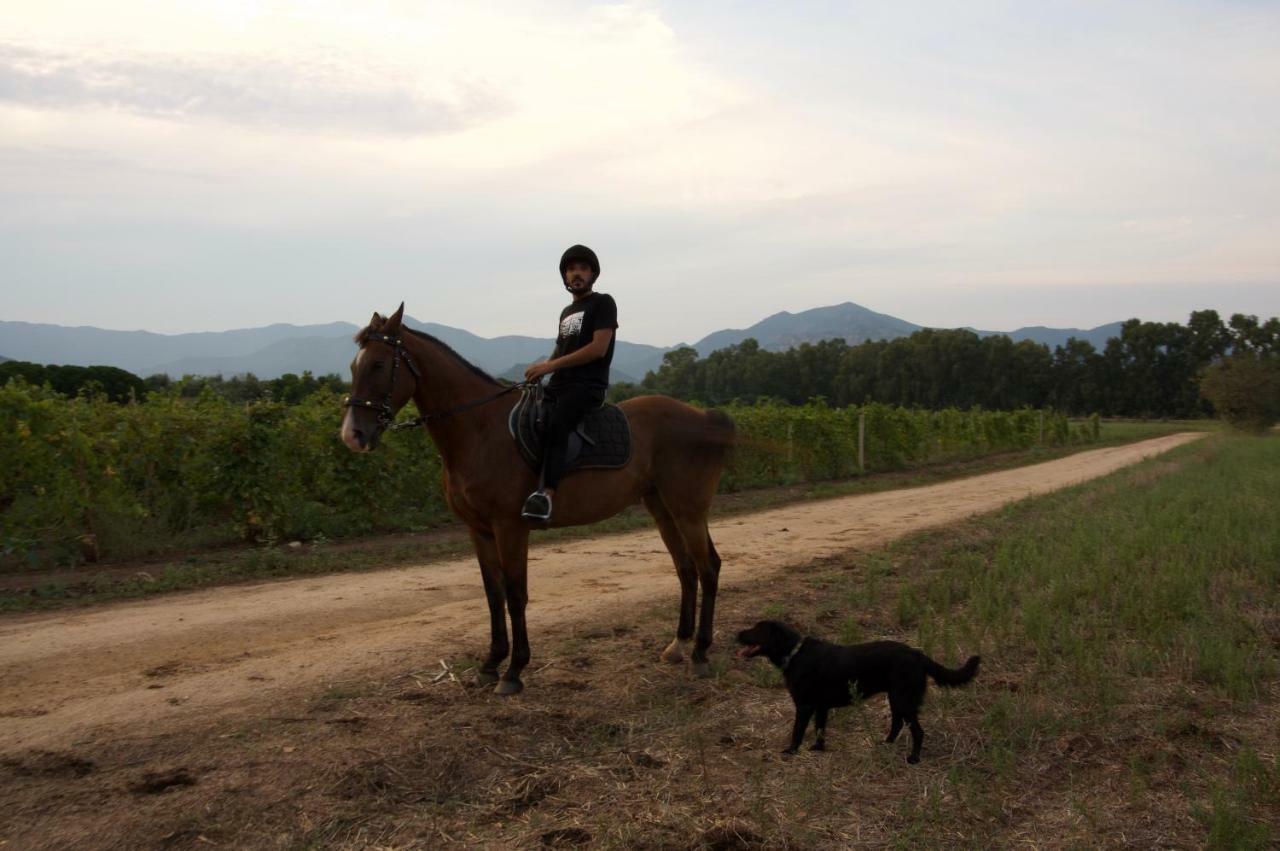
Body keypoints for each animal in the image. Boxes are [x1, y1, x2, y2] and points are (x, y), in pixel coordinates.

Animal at [340, 302, 737, 696]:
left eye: (378, 365)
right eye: (354, 366)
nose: (352, 435)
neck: (479, 430)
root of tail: (703, 417)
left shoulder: (510, 527)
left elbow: (516, 594)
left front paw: (514, 671)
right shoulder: (479, 530)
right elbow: (493, 594)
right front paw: (489, 665)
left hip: (688, 508)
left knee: (708, 567)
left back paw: (701, 653)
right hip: (662, 507)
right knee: (686, 568)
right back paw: (679, 645)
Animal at [737, 616, 972, 762]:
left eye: (756, 630)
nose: (736, 634)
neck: (795, 653)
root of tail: (917, 654)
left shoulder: (804, 706)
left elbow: (798, 731)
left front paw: (791, 751)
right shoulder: (821, 707)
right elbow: (820, 729)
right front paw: (818, 749)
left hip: (903, 699)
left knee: (918, 731)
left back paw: (913, 758)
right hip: (896, 698)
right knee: (897, 724)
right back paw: (885, 743)